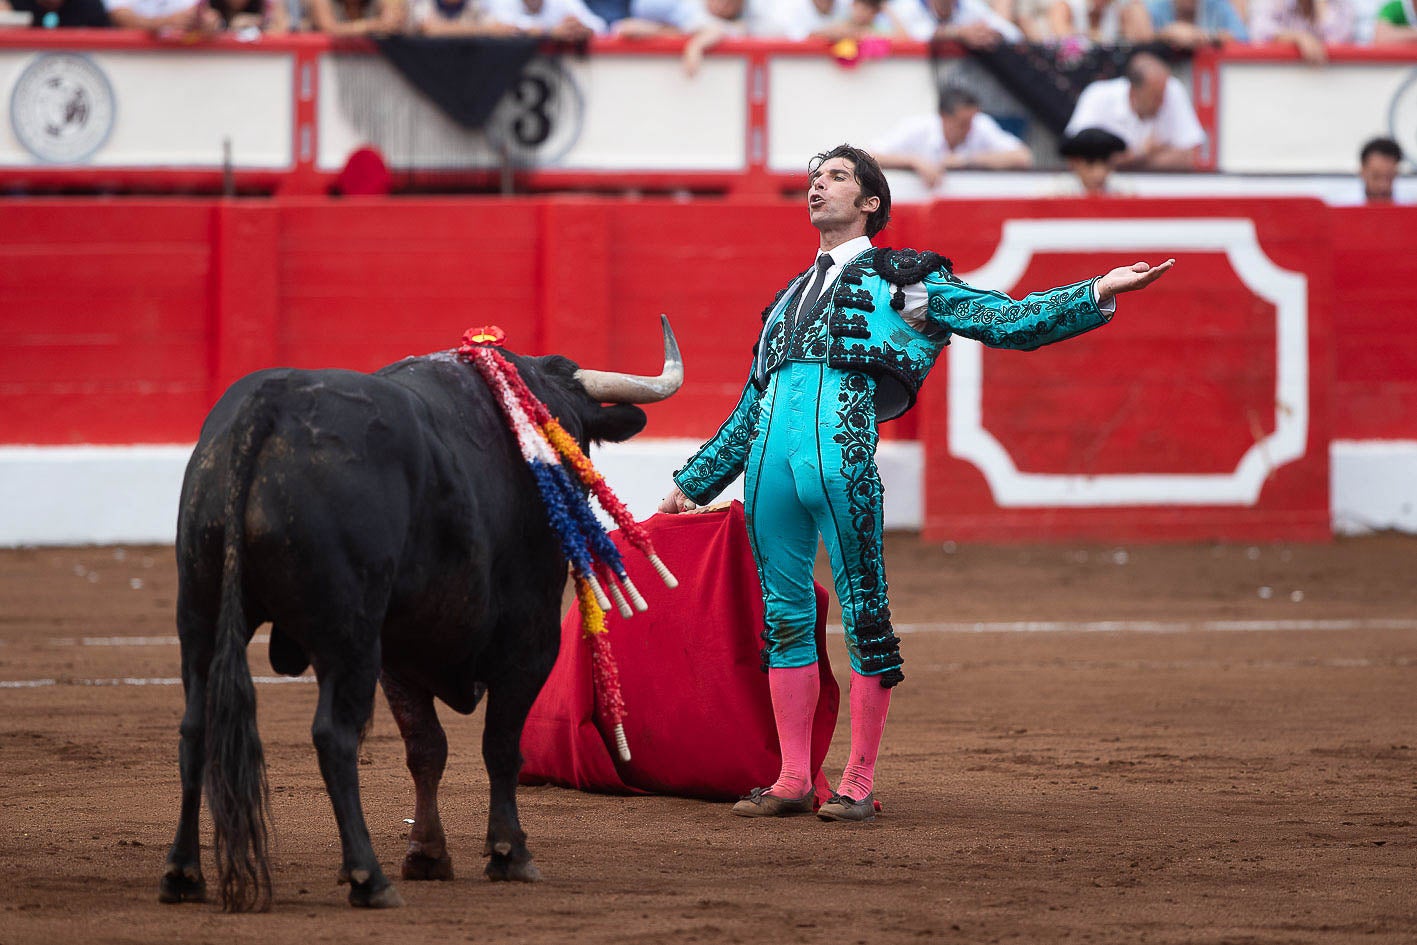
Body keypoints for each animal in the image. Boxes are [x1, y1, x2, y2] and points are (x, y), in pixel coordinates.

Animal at [157, 321, 682, 912]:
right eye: (567, 431)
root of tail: (268, 406)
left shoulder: (399, 655)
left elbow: (426, 748)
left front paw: (428, 854)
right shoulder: (529, 640)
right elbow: (501, 745)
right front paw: (509, 852)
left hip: (200, 615)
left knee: (195, 726)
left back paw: (184, 873)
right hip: (349, 635)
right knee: (334, 736)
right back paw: (367, 876)